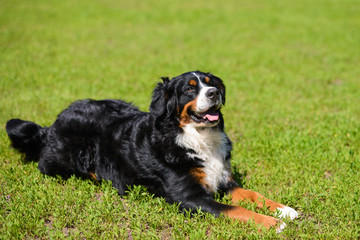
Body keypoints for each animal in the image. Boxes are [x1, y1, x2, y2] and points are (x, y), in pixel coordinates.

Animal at [5, 71, 298, 231]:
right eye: (190, 89)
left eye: (210, 82)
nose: (214, 93)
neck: (197, 138)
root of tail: (51, 125)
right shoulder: (189, 197)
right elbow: (235, 210)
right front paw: (273, 224)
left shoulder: (223, 180)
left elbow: (253, 195)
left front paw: (284, 210)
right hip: (64, 163)